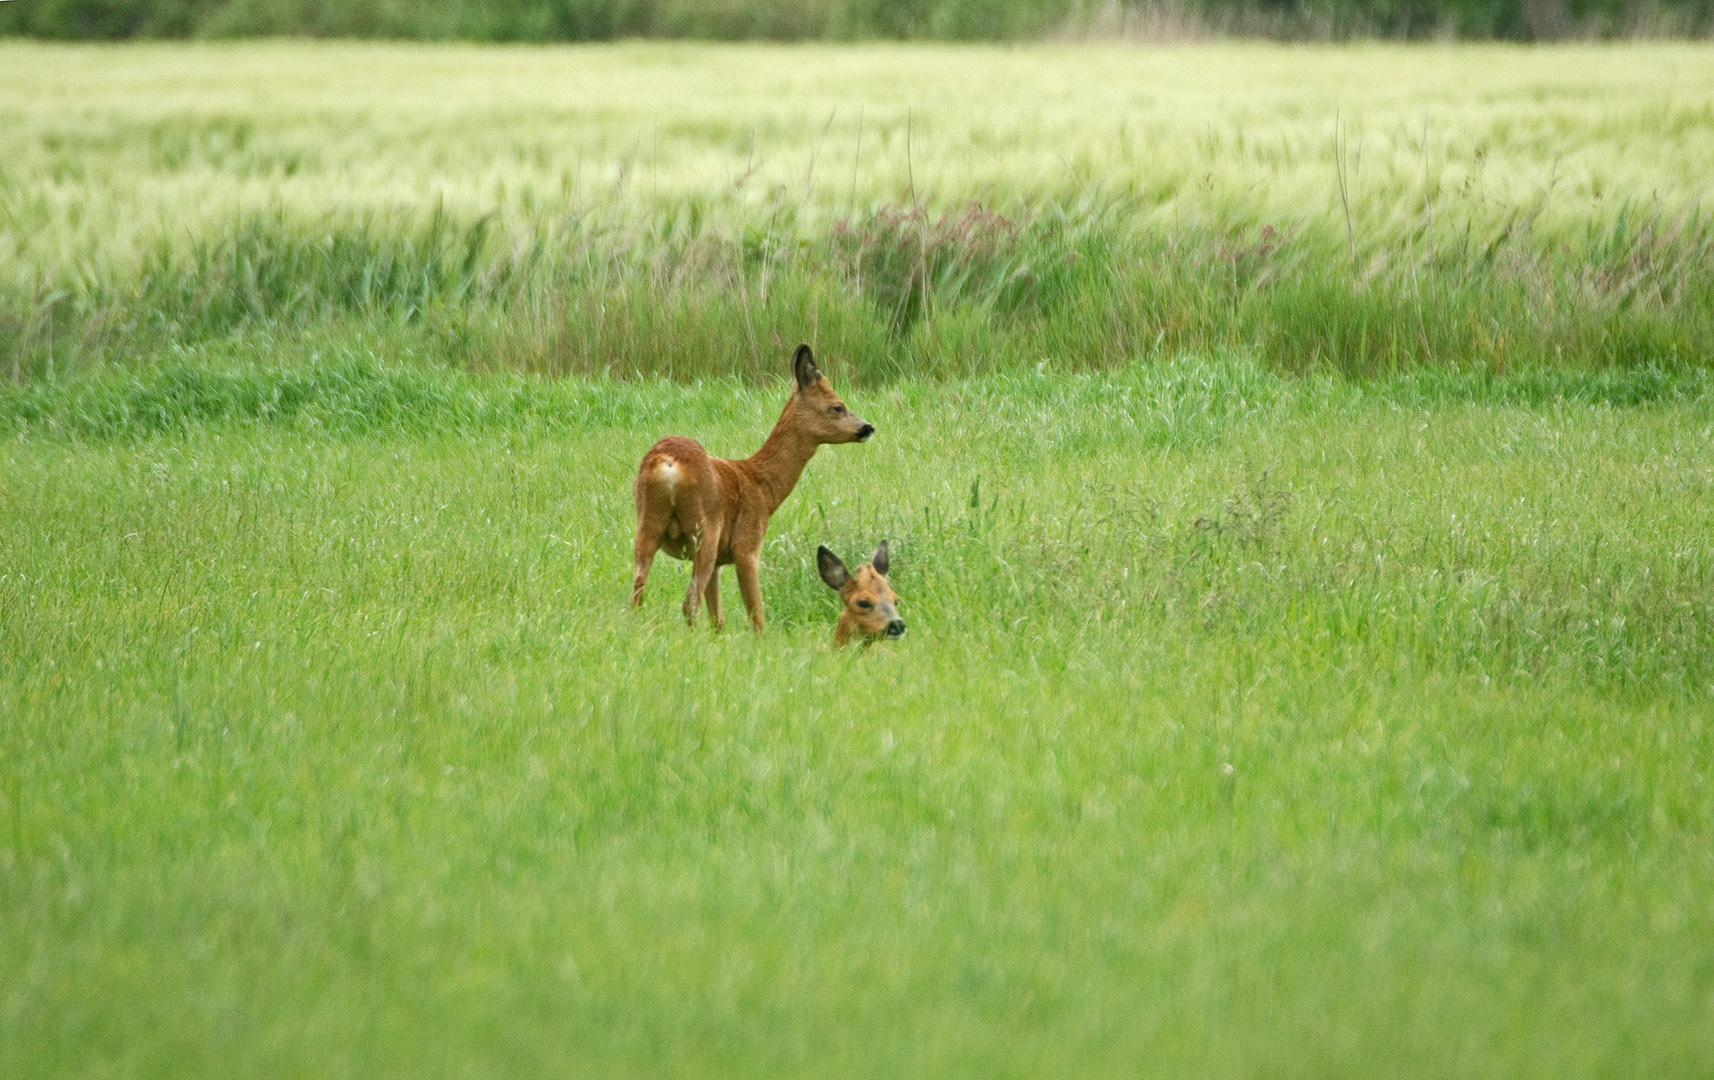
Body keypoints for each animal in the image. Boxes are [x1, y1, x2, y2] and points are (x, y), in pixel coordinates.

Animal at [630, 344, 877, 634]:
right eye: (838, 406)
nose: (867, 427)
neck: (762, 487)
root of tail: (667, 462)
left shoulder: (720, 561)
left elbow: (718, 618)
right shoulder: (746, 545)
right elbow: (756, 613)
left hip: (648, 522)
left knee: (637, 589)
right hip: (704, 529)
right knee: (689, 601)